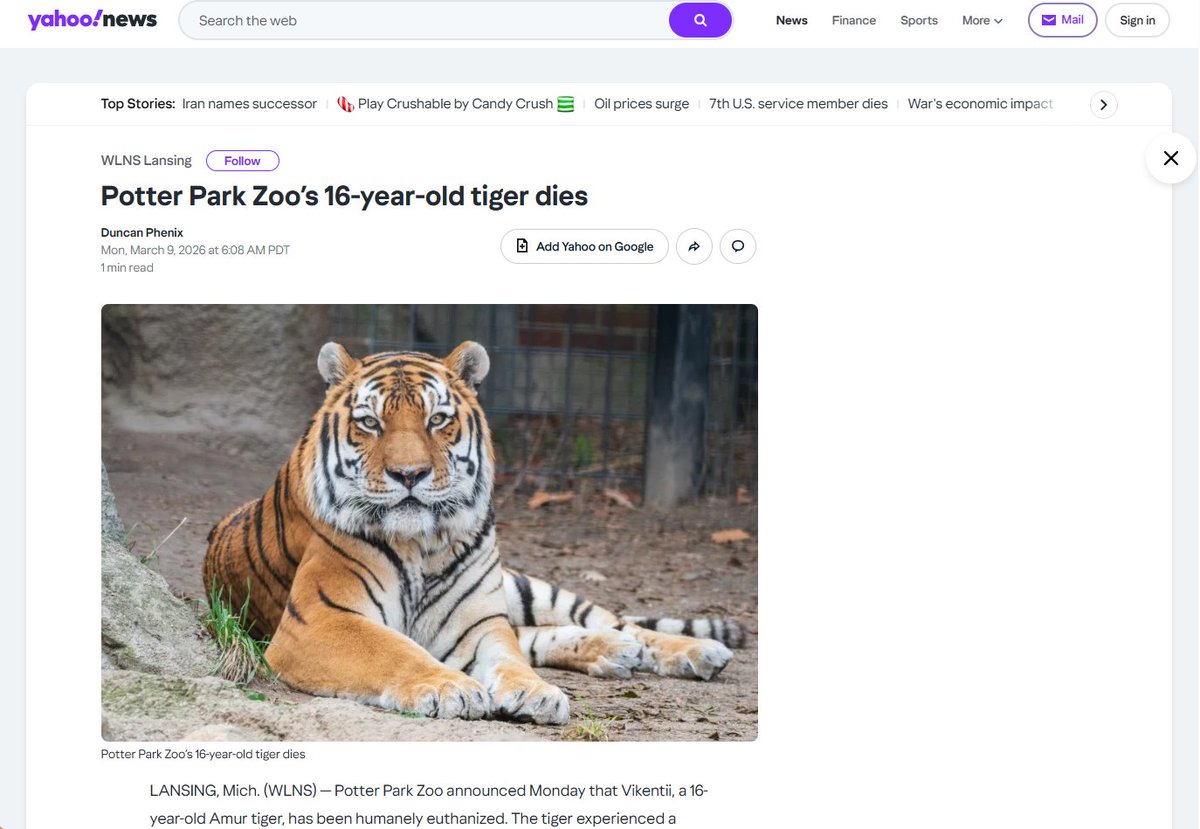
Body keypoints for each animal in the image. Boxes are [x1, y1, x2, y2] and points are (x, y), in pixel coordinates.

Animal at [203, 341, 745, 725]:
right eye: (371, 423)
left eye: (437, 419)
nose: (409, 475)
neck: (422, 544)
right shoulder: (320, 619)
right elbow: (394, 650)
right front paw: (451, 688)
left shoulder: (480, 623)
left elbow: (512, 658)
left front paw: (535, 692)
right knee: (543, 633)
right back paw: (614, 654)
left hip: (526, 588)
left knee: (610, 622)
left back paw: (693, 651)